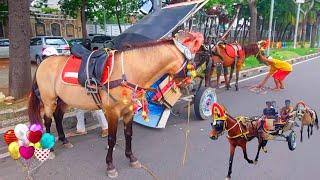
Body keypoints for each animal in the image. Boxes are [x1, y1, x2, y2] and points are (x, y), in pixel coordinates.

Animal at [27, 30, 202, 177]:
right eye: (191, 63)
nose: (192, 85)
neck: (129, 72)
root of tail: (44, 62)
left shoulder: (129, 111)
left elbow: (129, 134)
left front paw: (131, 157)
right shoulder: (112, 113)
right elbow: (112, 138)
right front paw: (110, 165)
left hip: (63, 99)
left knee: (58, 116)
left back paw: (64, 140)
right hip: (49, 100)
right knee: (48, 120)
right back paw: (49, 149)